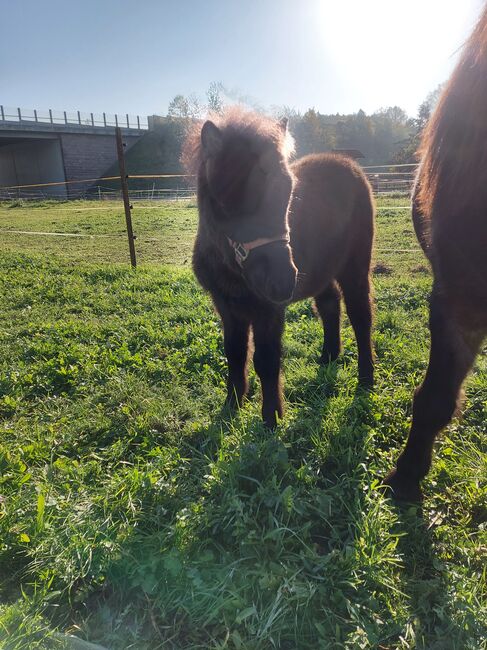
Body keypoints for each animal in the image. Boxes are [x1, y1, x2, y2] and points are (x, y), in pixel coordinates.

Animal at [185, 109, 376, 428]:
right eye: (229, 195)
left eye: (288, 190)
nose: (282, 281)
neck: (232, 269)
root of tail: (346, 162)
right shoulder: (226, 306)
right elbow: (235, 354)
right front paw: (231, 406)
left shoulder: (268, 310)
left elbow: (266, 359)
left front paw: (271, 417)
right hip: (321, 270)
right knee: (329, 304)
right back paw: (329, 356)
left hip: (355, 267)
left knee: (361, 316)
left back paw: (366, 378)